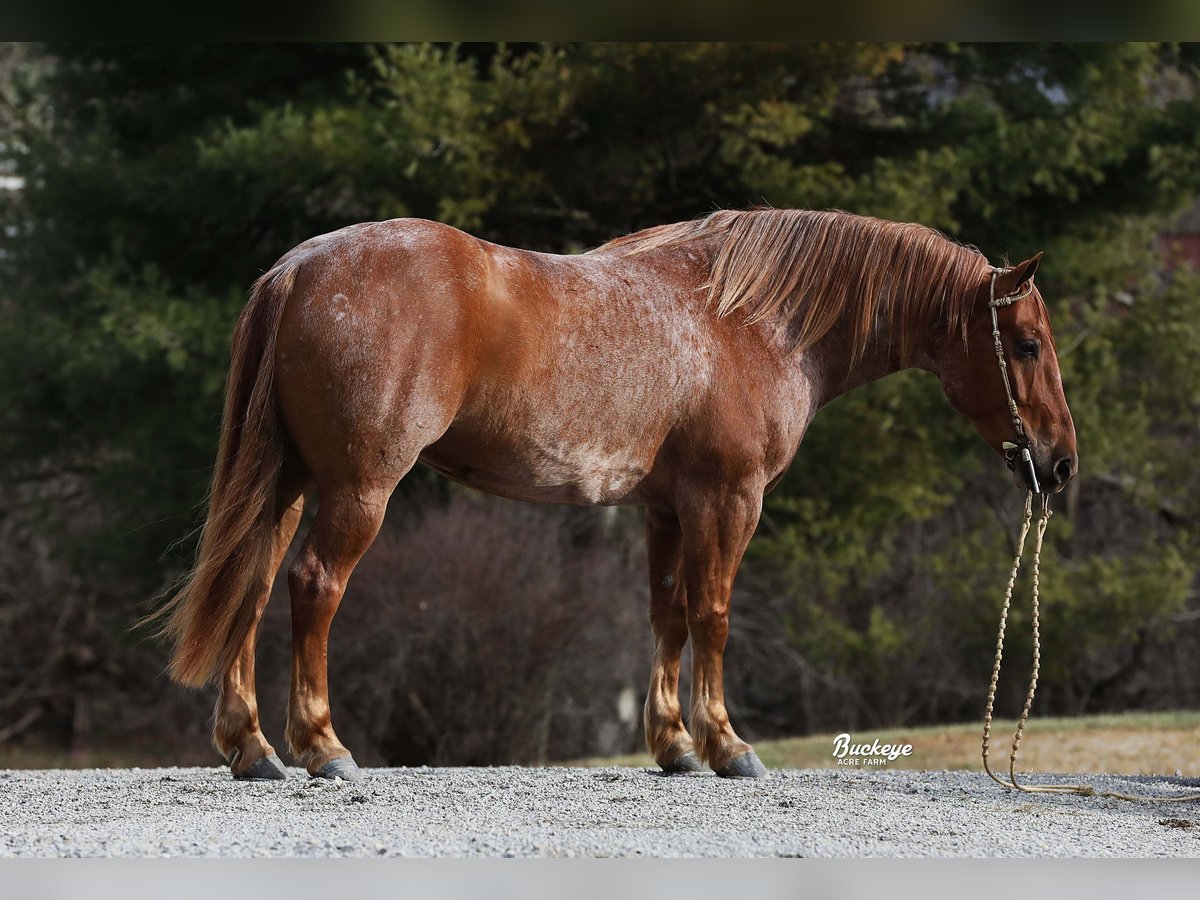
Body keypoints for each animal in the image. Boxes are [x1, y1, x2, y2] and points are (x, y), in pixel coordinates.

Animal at [157, 210, 1080, 782]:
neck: (748, 321)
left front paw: (674, 746)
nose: (1060, 463)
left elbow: (668, 615)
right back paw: (322, 747)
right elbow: (713, 614)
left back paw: (253, 750)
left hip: (287, 485)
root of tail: (297, 269)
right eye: (1027, 344)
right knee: (313, 587)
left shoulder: (667, 509)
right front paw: (728, 745)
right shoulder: (727, 500)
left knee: (250, 587)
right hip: (357, 489)